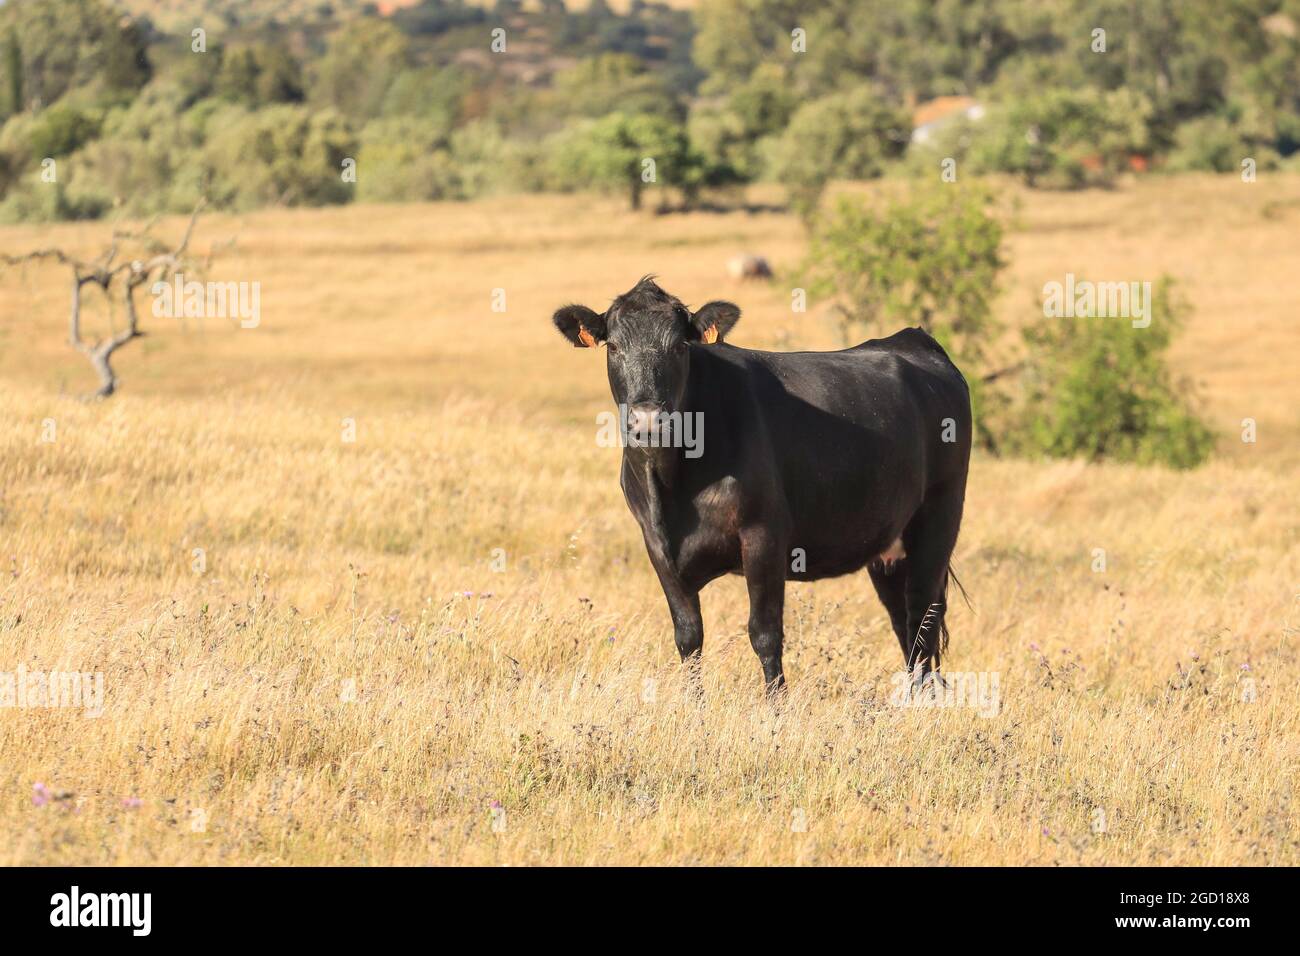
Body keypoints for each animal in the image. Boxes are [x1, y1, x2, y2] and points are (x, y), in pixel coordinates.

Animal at [552, 276, 971, 694]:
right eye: (614, 347)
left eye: (679, 347)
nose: (648, 419)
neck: (671, 487)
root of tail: (912, 339)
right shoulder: (656, 543)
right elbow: (688, 636)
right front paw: (692, 700)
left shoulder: (763, 534)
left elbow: (765, 633)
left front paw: (776, 703)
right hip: (887, 545)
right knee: (902, 620)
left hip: (939, 517)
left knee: (922, 614)